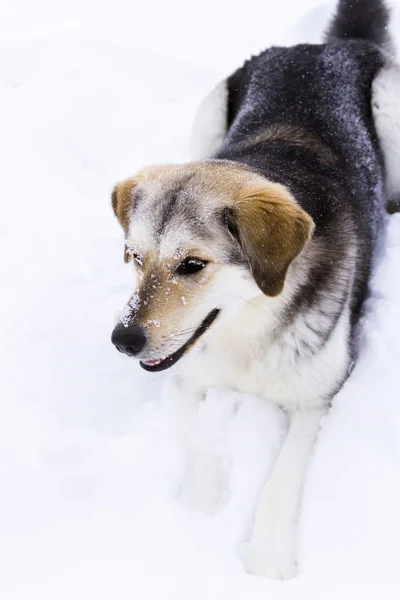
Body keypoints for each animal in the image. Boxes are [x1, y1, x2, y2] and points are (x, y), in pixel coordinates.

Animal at [111, 0, 400, 580]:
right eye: (135, 256)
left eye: (192, 264)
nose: (123, 341)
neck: (248, 331)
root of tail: (325, 48)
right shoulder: (183, 374)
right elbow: (195, 438)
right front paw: (202, 509)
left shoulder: (316, 398)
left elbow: (283, 479)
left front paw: (267, 558)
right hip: (208, 110)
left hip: (391, 105)